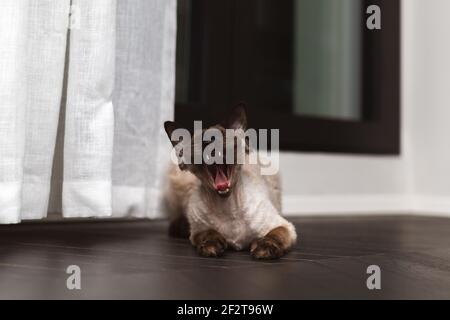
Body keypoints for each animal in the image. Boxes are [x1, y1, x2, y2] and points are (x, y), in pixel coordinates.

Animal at [163, 104, 298, 258]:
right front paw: (211, 246)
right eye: (197, 142)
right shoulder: (198, 230)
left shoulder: (282, 226)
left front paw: (263, 248)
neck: (227, 206)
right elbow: (209, 233)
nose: (208, 142)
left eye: (219, 136)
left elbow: (273, 236)